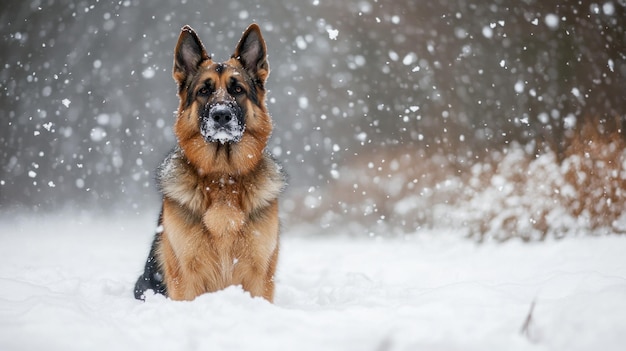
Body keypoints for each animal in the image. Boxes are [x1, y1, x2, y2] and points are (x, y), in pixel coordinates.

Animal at [136, 23, 286, 302]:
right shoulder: (186, 277)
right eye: (204, 91)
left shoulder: (259, 276)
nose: (221, 115)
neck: (222, 178)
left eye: (237, 90)